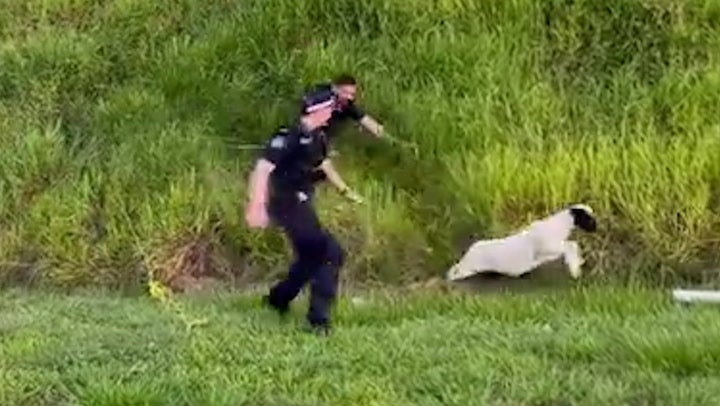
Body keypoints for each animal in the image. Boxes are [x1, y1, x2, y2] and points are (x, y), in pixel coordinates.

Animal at [445, 204, 598, 282]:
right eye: (589, 219)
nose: (597, 228)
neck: (558, 227)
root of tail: (468, 254)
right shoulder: (547, 248)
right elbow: (570, 245)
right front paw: (576, 269)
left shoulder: (548, 254)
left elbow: (571, 245)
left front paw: (577, 264)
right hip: (468, 269)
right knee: (455, 274)